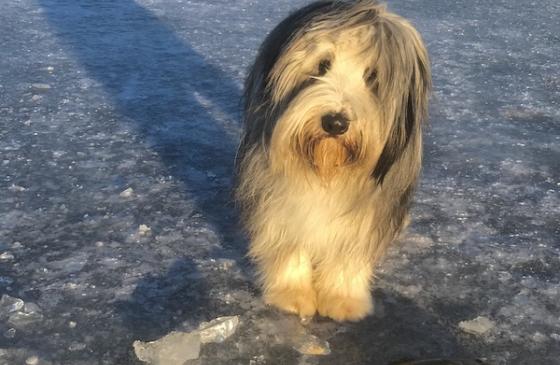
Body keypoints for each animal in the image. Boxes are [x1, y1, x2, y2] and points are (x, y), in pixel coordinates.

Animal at [234, 0, 430, 320]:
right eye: (322, 65)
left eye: (372, 77)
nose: (335, 123)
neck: (328, 169)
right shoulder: (275, 191)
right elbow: (288, 237)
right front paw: (292, 293)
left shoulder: (372, 202)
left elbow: (349, 250)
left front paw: (342, 298)